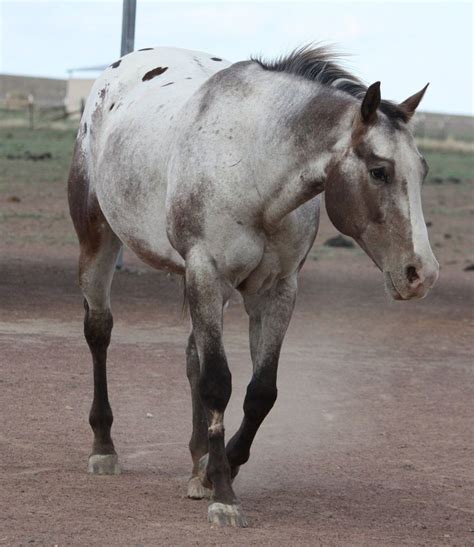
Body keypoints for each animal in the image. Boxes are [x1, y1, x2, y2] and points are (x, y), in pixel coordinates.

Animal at [68, 46, 438, 528]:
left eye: (422, 170)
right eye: (379, 171)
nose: (422, 272)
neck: (254, 166)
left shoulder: (275, 291)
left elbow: (260, 392)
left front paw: (215, 468)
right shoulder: (207, 272)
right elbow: (218, 383)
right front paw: (223, 493)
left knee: (192, 355)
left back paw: (196, 461)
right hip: (98, 240)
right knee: (99, 331)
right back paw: (104, 447)